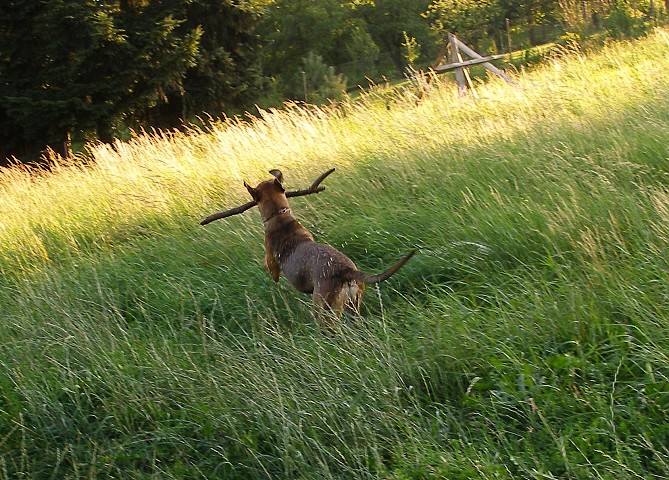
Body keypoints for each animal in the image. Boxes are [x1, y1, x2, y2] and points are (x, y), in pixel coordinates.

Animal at [240, 169, 414, 322]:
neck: (280, 217)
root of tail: (346, 271)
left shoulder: (273, 268)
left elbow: (267, 264)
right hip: (354, 306)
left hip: (323, 310)